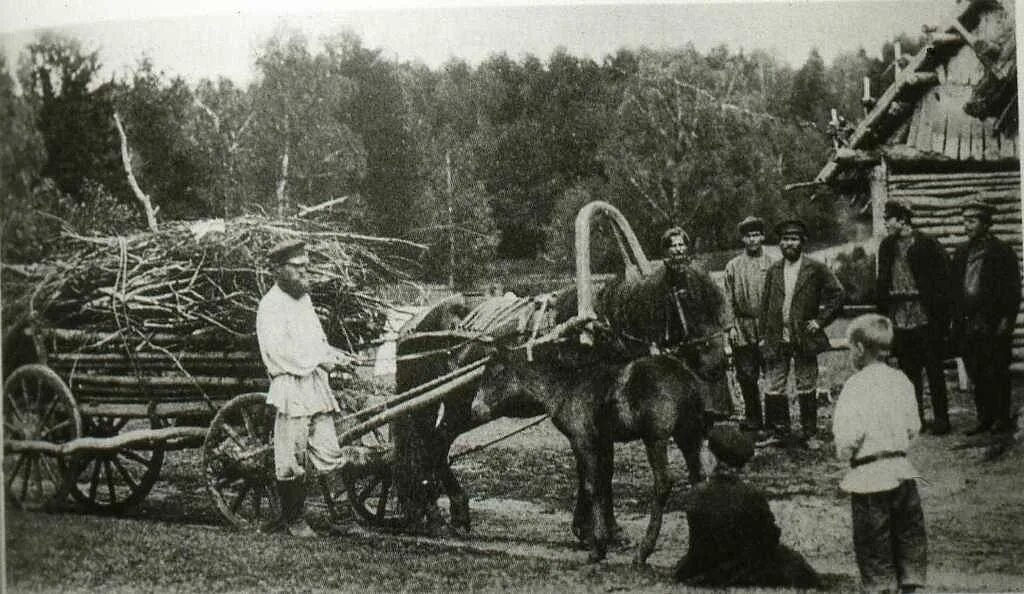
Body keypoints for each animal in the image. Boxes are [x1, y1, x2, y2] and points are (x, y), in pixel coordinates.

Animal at [471, 319, 712, 565]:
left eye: (496, 374)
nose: (475, 410)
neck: (567, 386)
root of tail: (684, 377)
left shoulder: (582, 440)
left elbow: (591, 485)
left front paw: (597, 546)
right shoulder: (602, 440)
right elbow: (602, 480)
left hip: (656, 438)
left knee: (663, 484)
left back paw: (644, 551)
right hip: (689, 434)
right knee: (699, 481)